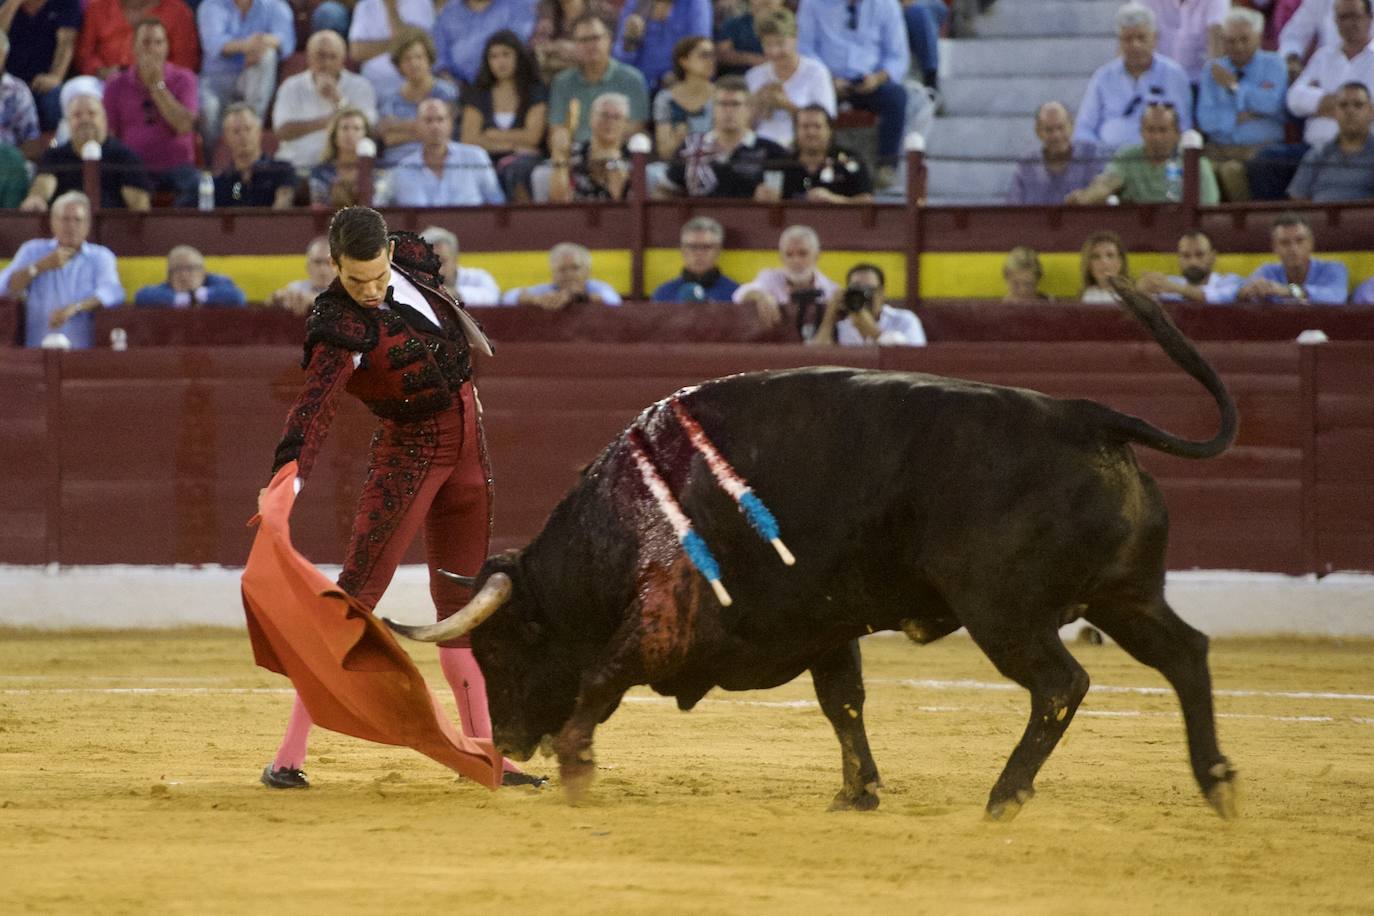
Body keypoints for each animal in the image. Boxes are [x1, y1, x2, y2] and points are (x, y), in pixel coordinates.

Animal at [390, 281, 1247, 823]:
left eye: (501, 650)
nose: (503, 744)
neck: (618, 525)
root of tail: (1087, 416)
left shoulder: (664, 620)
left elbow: (602, 676)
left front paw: (575, 771)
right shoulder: (826, 622)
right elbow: (845, 702)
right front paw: (857, 793)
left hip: (1004, 610)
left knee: (1062, 683)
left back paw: (1005, 796)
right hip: (1125, 595)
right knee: (1186, 654)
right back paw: (1217, 783)